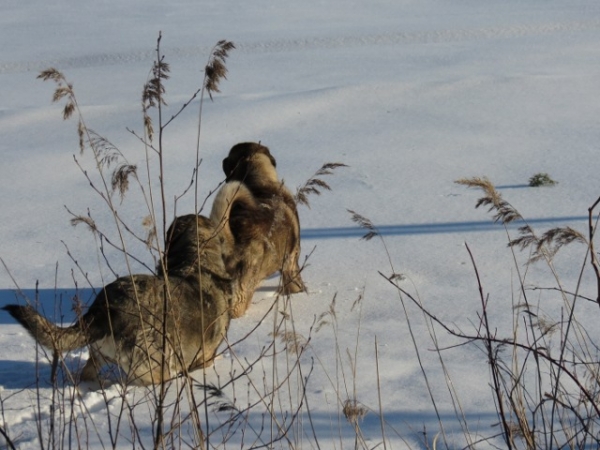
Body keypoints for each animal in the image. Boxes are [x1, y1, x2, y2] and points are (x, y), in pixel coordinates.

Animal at [3, 216, 233, 384]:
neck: (196, 262)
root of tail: (107, 308)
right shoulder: (204, 356)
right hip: (155, 368)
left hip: (98, 356)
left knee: (87, 375)